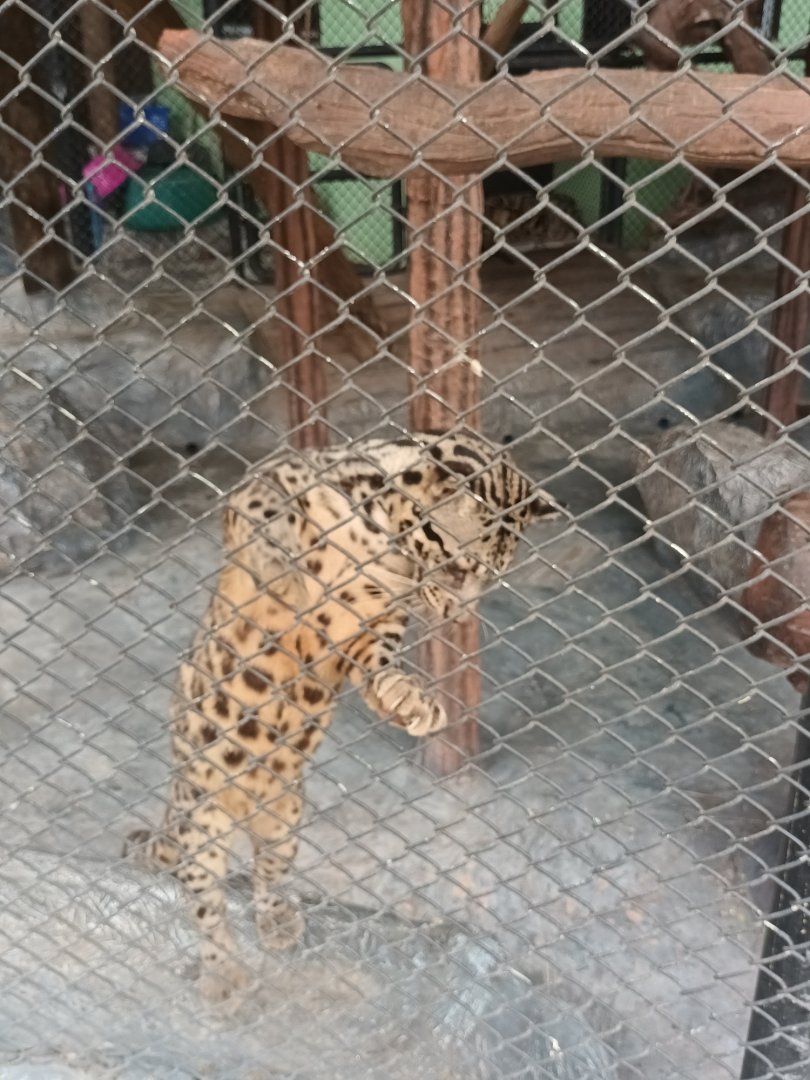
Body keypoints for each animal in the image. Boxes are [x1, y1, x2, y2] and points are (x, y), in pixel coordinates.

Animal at [126, 429, 561, 1002]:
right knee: (207, 903)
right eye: (461, 567)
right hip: (200, 816)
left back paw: (277, 922)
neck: (382, 533)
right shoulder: (267, 478)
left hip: (284, 820)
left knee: (265, 874)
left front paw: (408, 700)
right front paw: (282, 565)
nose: (458, 614)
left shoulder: (370, 626)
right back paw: (222, 975)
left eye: (493, 575)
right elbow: (268, 513)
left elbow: (379, 663)